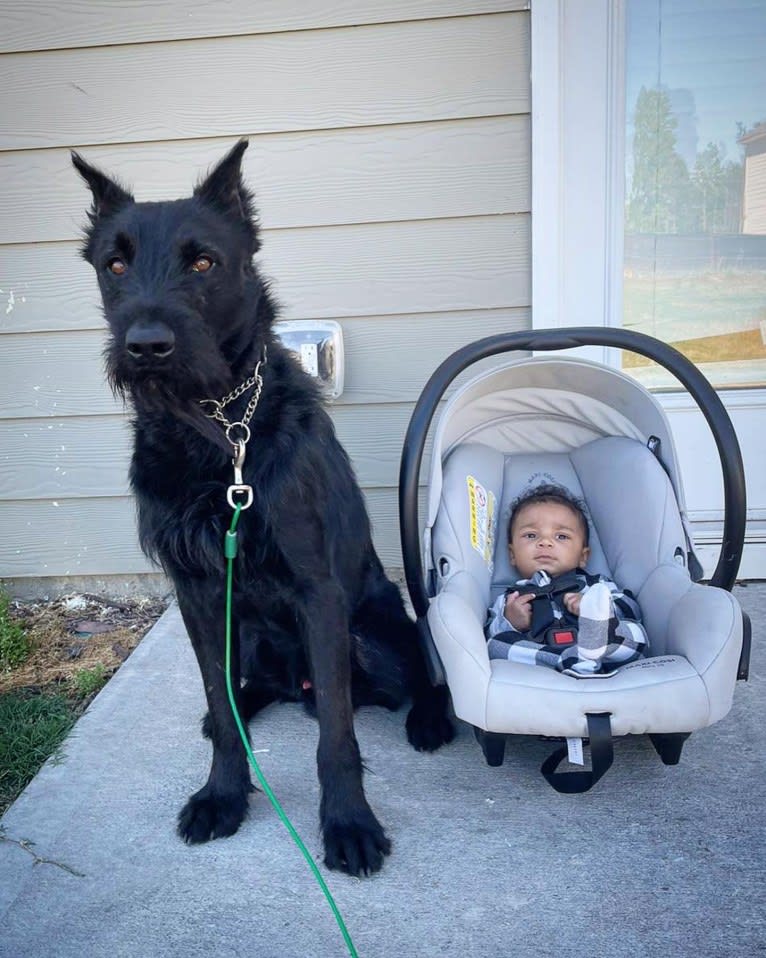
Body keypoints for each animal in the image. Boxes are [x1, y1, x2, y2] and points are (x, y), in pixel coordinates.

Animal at [73, 139, 452, 872]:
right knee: (246, 691)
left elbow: (337, 735)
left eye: (202, 262)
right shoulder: (197, 593)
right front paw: (223, 794)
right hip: (247, 634)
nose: (147, 347)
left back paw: (430, 715)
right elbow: (220, 709)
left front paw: (348, 821)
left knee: (416, 673)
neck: (216, 431)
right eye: (114, 264)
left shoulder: (317, 592)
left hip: (372, 636)